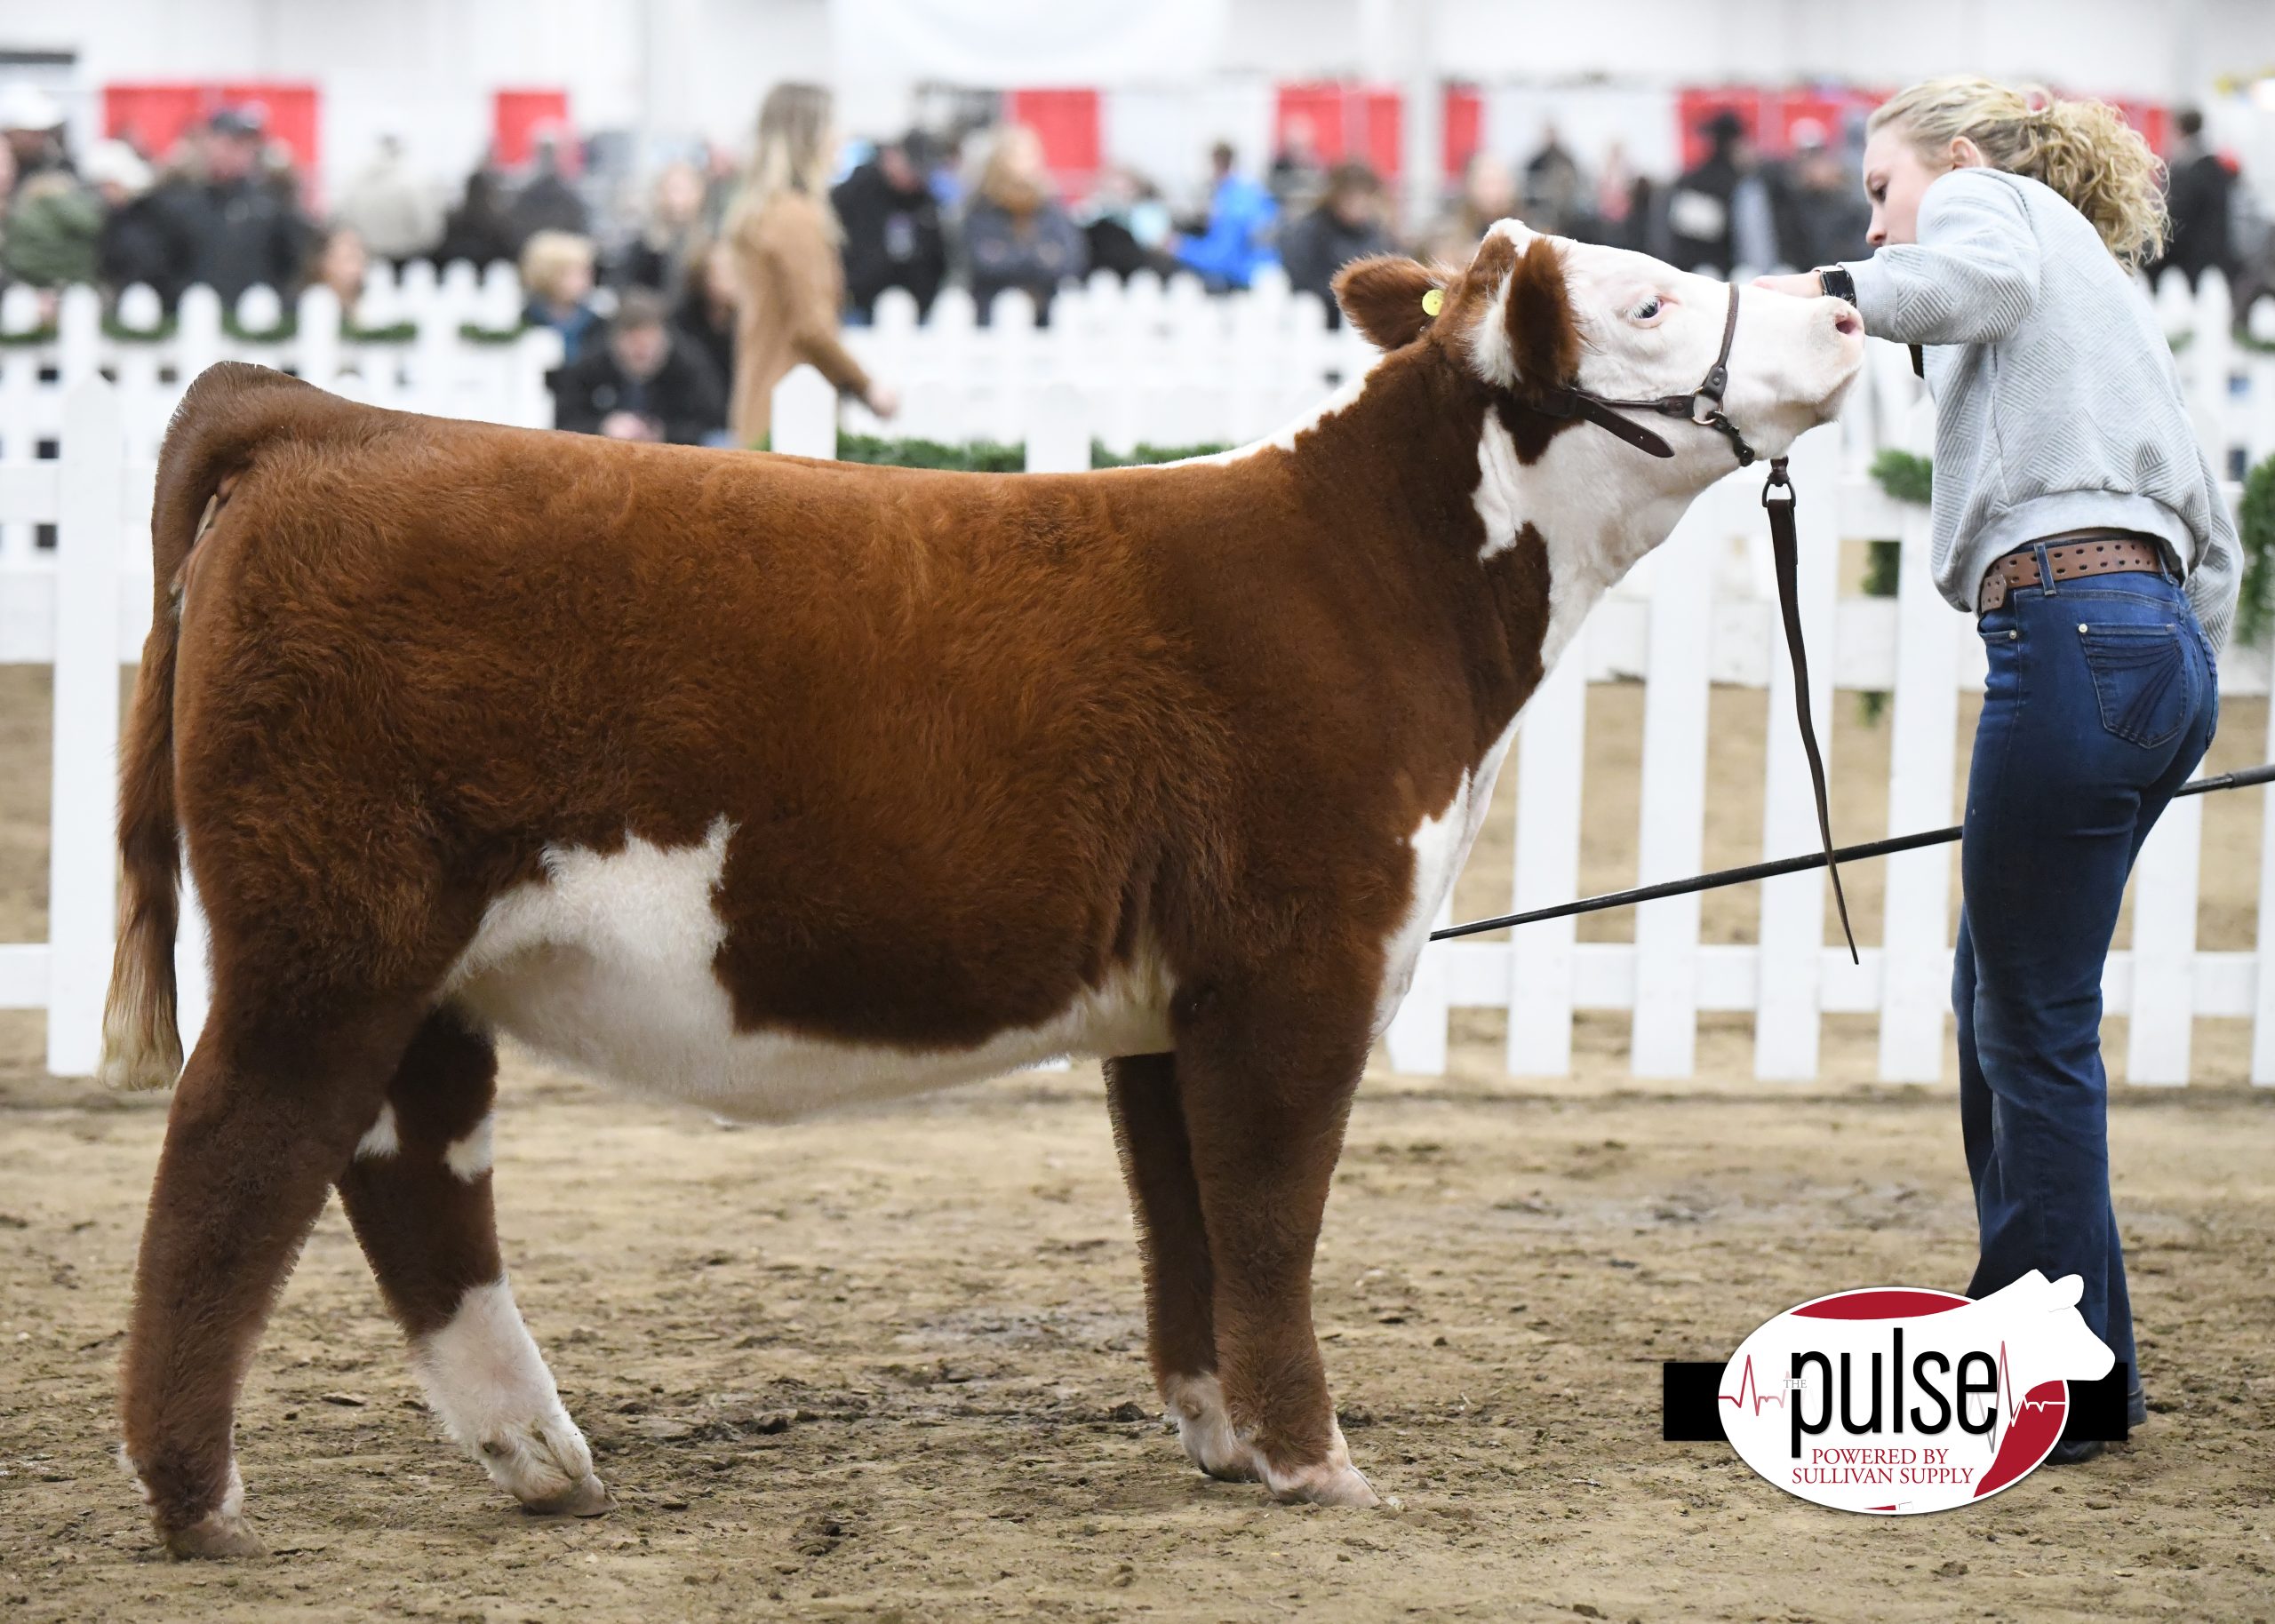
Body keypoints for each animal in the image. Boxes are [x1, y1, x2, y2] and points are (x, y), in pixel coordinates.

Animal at [98, 214, 1856, 1546]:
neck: (1371, 576)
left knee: (412, 1171)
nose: (1845, 296)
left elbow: (1184, 1217)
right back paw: (201, 1503)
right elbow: (1270, 1214)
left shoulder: (1173, 996)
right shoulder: (1299, 959)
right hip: (329, 938)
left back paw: (540, 1459)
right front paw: (1316, 1462)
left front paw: (1222, 1438)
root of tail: (326, 419)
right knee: (230, 1163)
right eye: (1649, 300)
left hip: (421, 968)